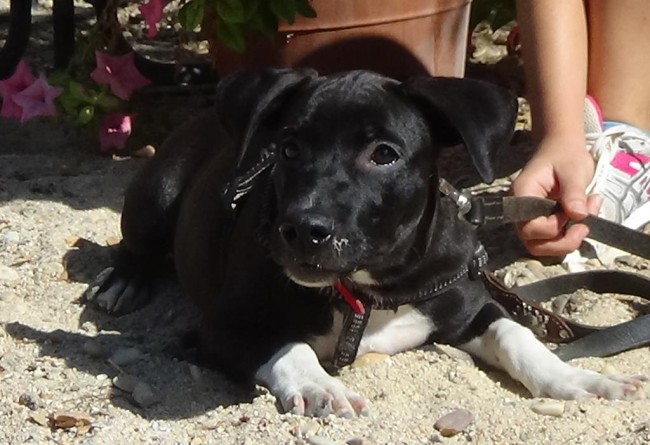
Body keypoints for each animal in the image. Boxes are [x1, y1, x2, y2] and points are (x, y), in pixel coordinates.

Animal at [86, 69, 645, 417]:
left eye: (384, 154)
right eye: (288, 149)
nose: (302, 228)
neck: (368, 287)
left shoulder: (468, 302)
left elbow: (517, 335)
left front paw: (576, 379)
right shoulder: (224, 324)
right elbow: (288, 346)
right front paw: (319, 385)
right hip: (157, 195)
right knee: (136, 243)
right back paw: (121, 282)